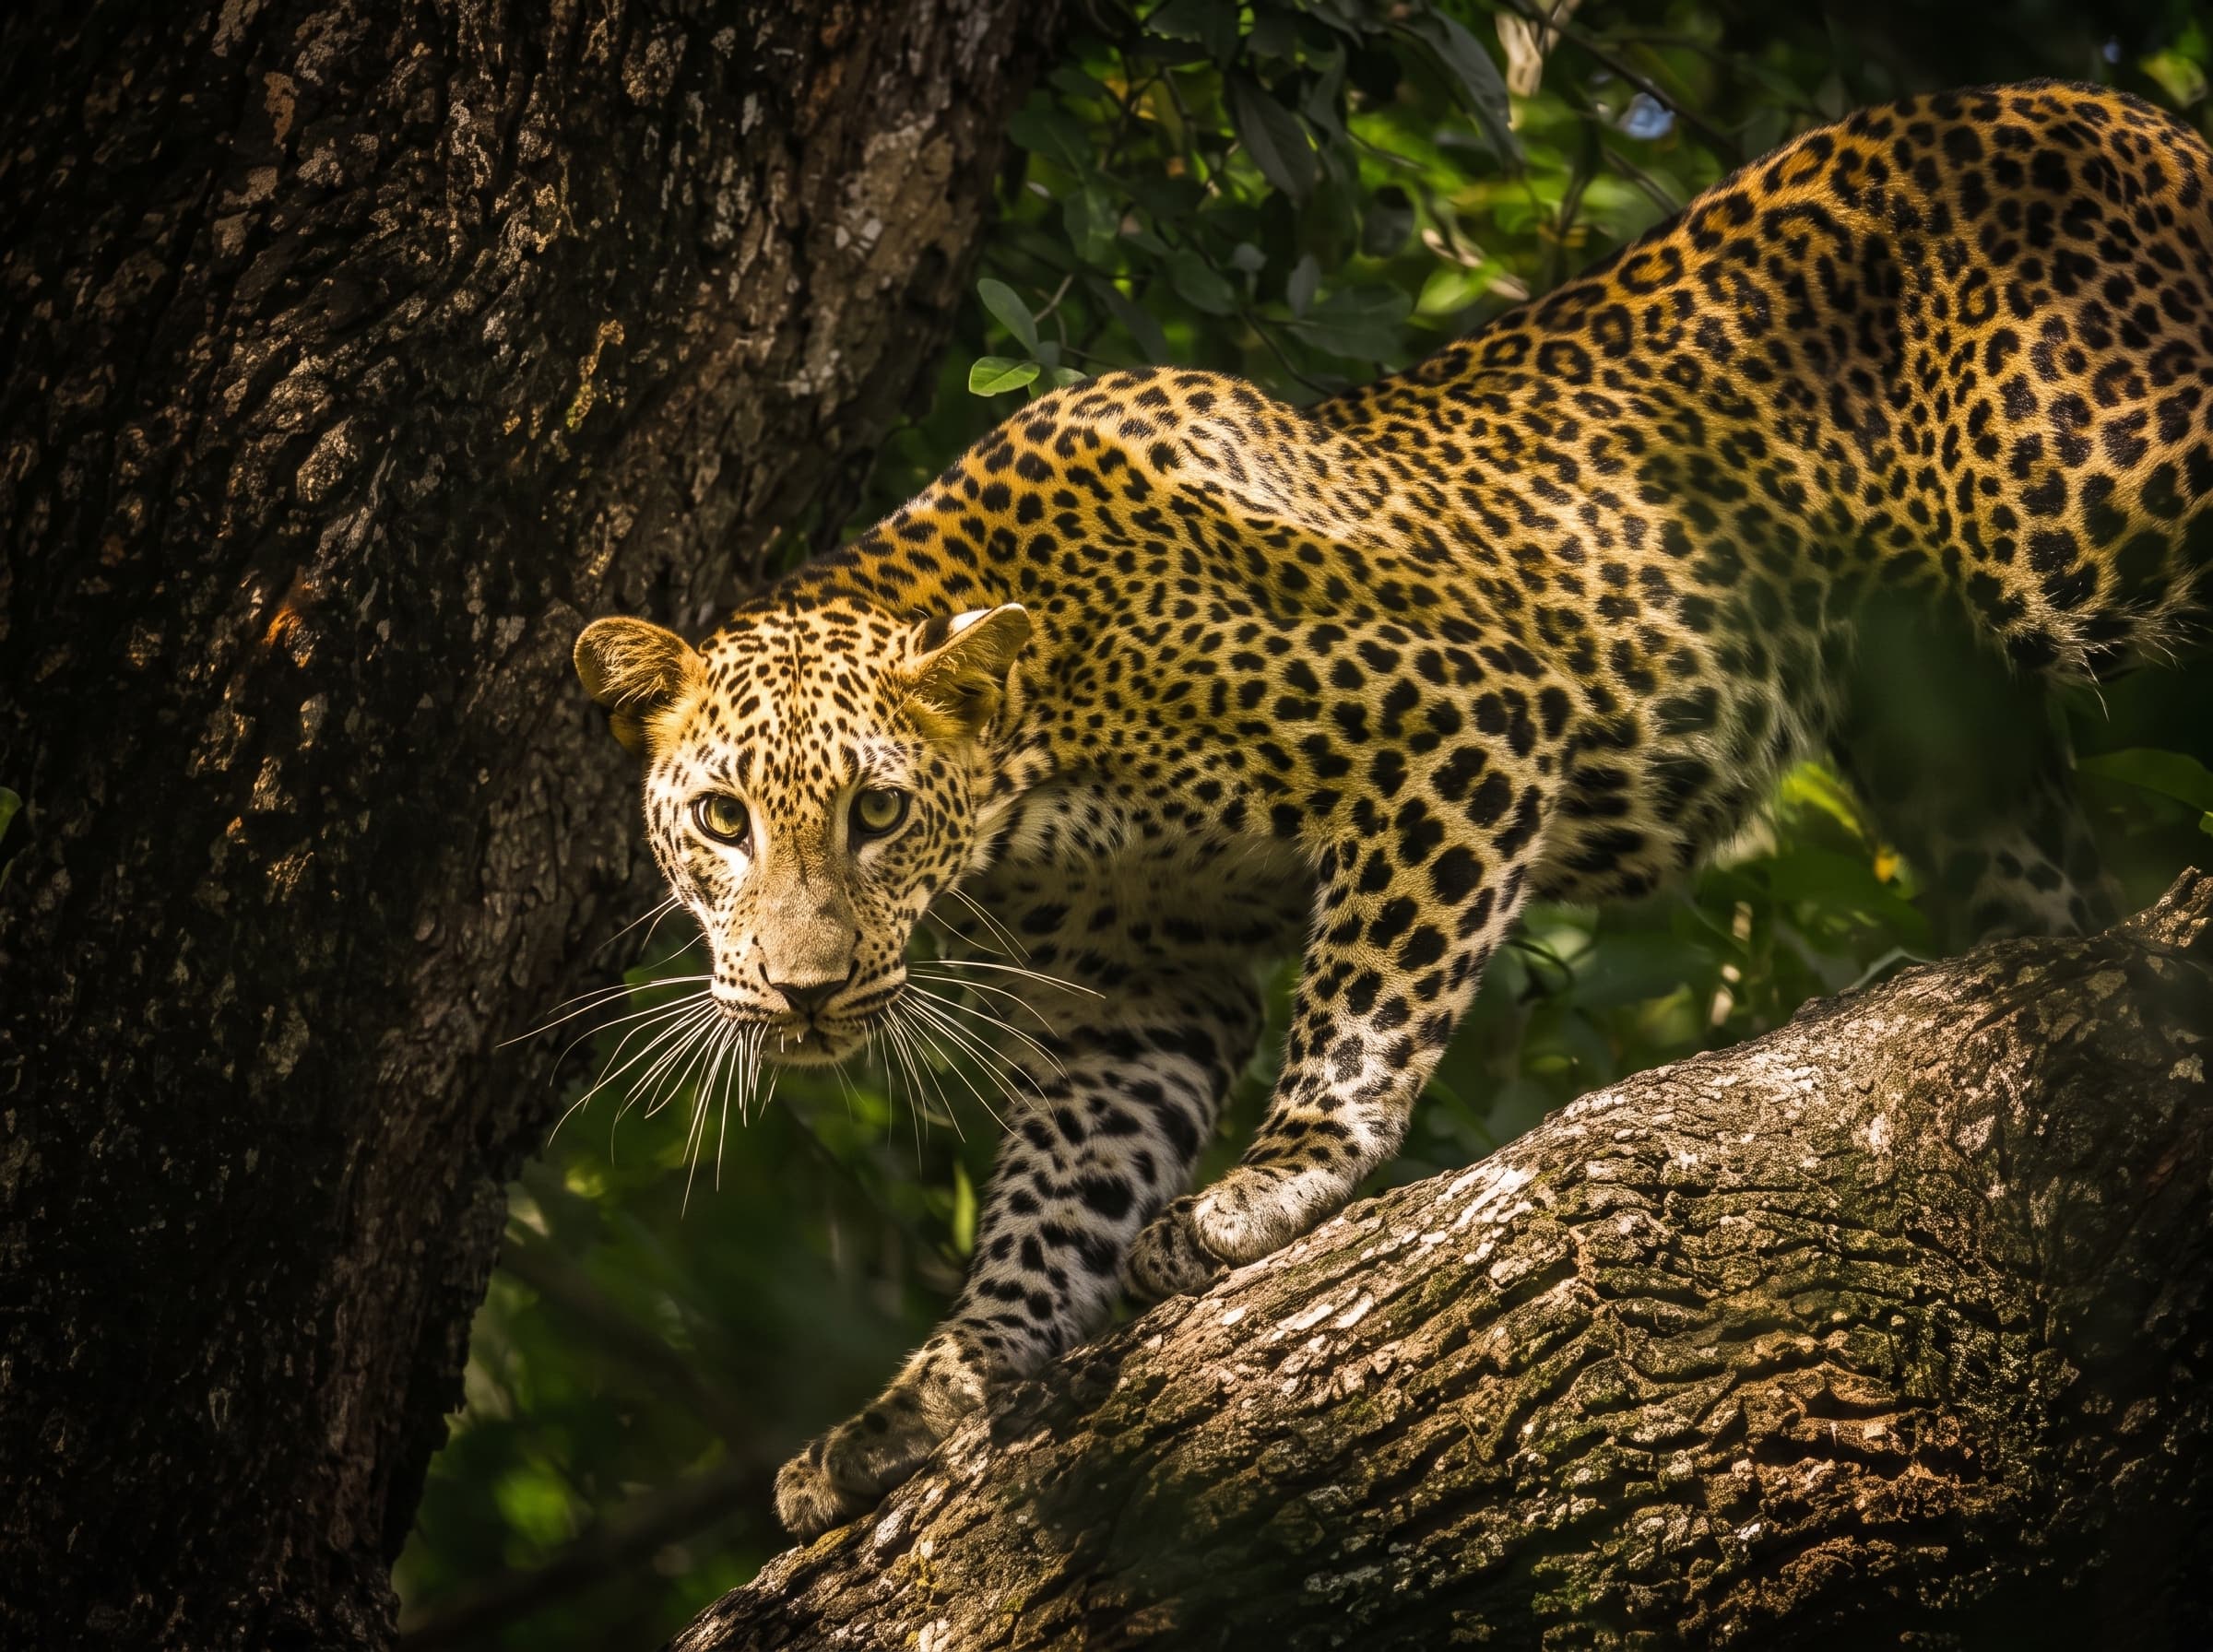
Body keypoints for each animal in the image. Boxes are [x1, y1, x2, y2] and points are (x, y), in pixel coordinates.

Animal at [573, 80, 2213, 1540]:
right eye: (721, 820)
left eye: (877, 811)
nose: (803, 992)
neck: (1040, 765)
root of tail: (2126, 117)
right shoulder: (1146, 973)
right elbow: (1058, 1187)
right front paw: (929, 1399)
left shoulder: (1459, 724)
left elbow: (1364, 1006)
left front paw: (1274, 1185)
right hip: (1946, 732)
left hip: (2097, 500)